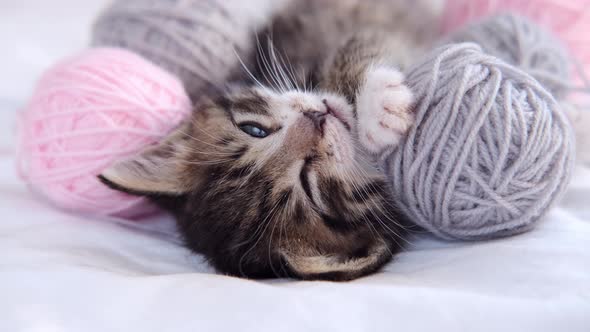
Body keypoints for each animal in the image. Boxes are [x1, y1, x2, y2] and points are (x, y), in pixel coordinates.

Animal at [98, 0, 440, 280]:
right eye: (308, 185)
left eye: (254, 129)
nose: (316, 119)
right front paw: (379, 108)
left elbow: (357, 43)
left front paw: (375, 103)